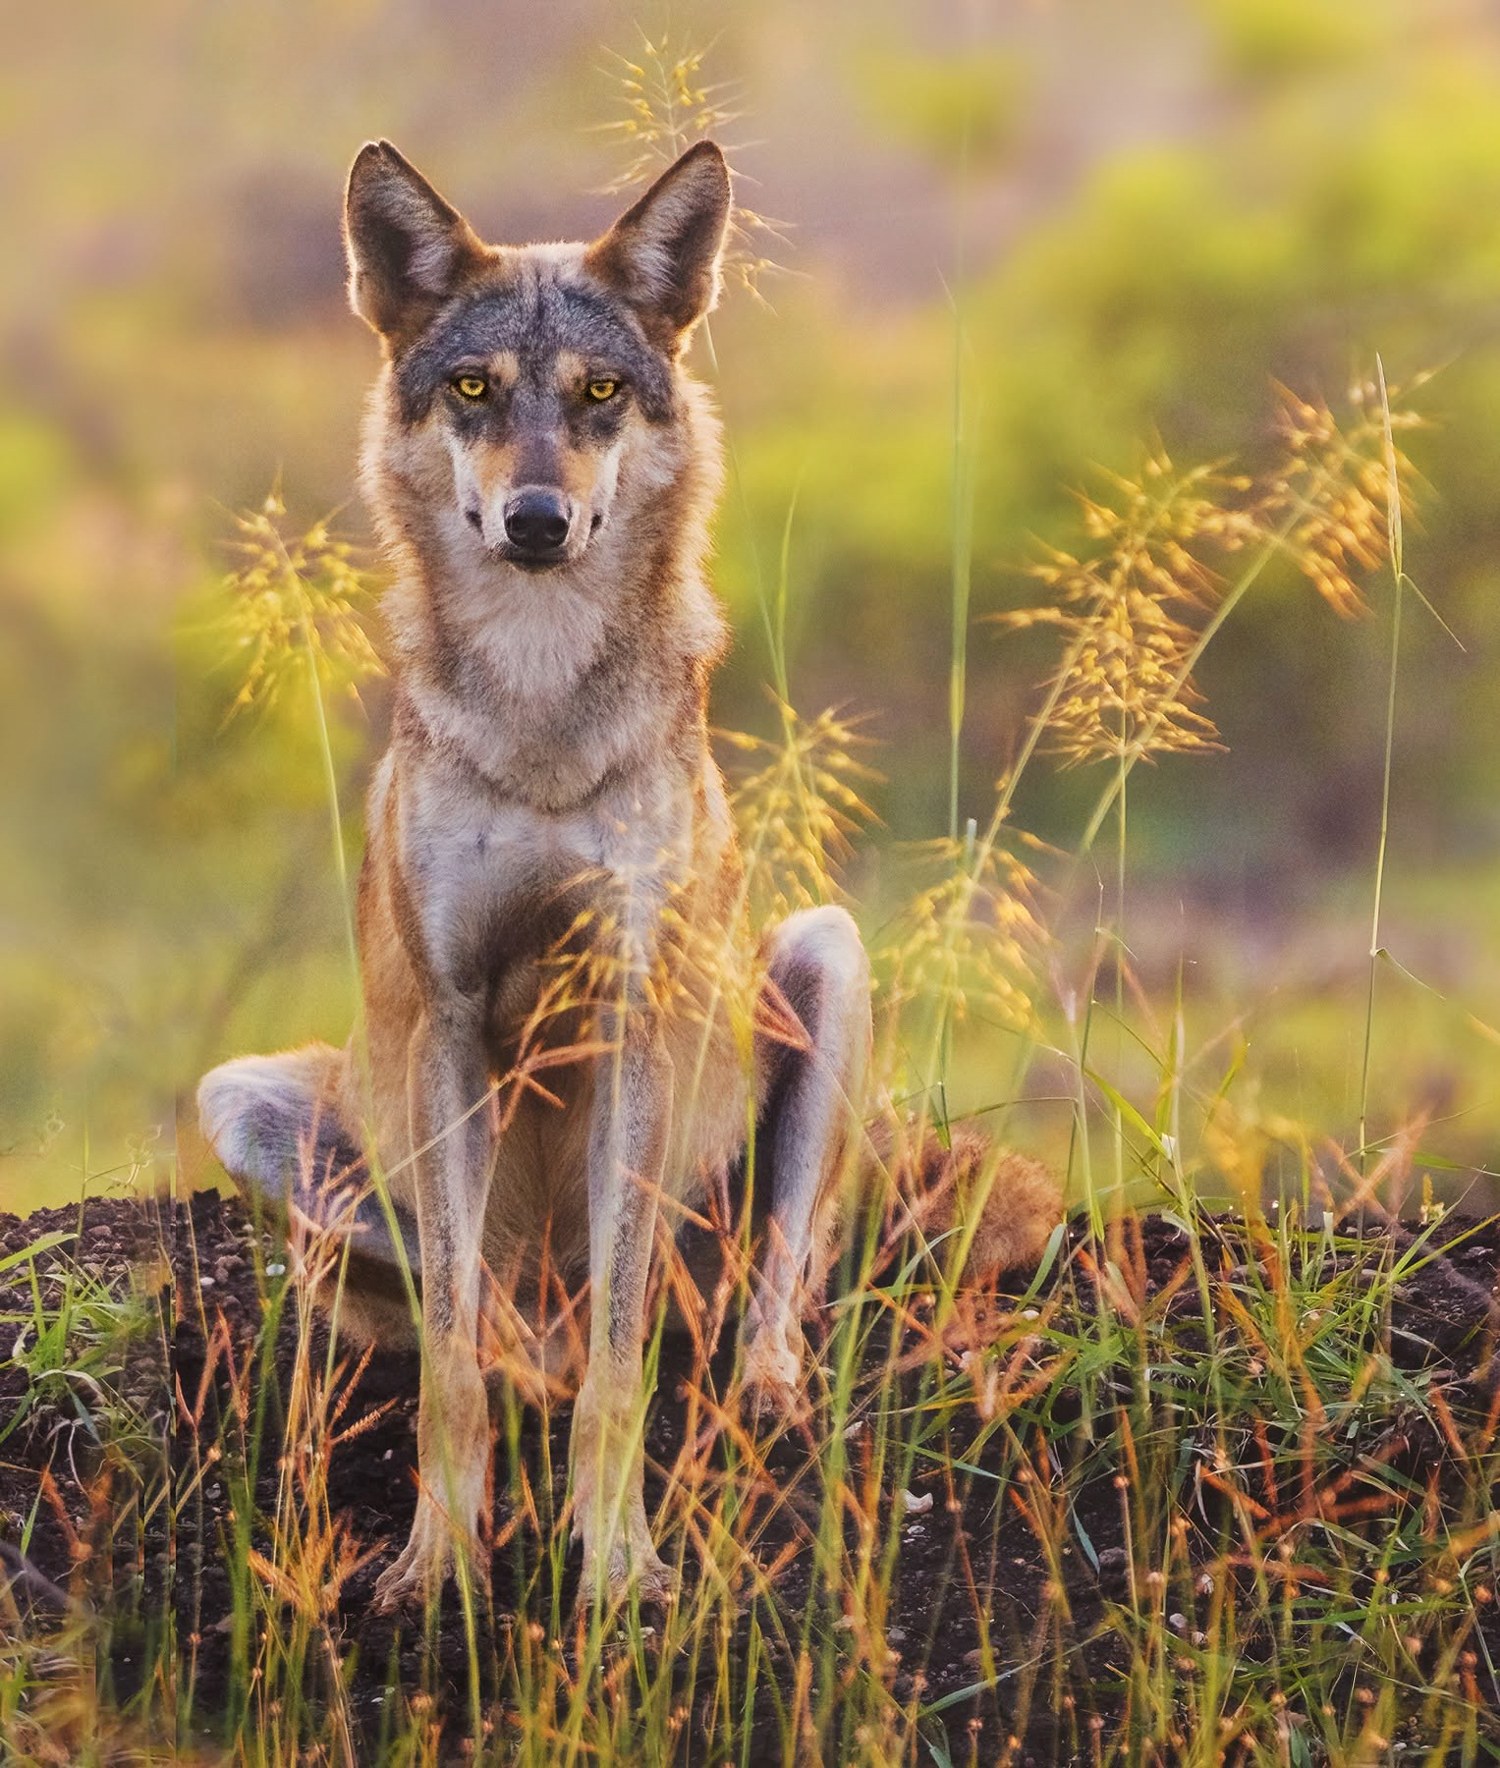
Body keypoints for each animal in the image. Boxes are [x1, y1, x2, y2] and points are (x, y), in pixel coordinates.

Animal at [197, 138, 1060, 1612]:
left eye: (599, 393)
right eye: (475, 390)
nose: (538, 519)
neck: (542, 715)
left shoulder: (634, 1016)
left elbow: (620, 1368)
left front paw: (618, 1567)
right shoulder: (450, 1023)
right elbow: (450, 1375)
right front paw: (437, 1562)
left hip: (821, 964)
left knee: (765, 1294)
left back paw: (763, 1392)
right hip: (259, 1102)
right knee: (460, 1324)